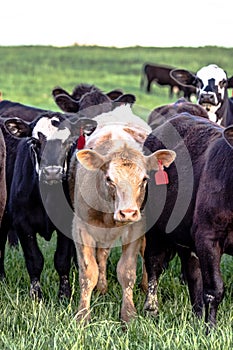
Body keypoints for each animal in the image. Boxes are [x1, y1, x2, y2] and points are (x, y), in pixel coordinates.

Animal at [0, 113, 96, 300]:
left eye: (68, 142)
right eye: (35, 142)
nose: (52, 172)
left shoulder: (67, 221)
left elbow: (62, 260)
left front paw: (64, 295)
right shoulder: (23, 224)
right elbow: (34, 260)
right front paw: (36, 295)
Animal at [144, 113, 233, 332]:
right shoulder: (208, 236)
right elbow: (214, 289)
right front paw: (211, 330)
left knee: (193, 274)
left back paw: (197, 315)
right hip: (154, 227)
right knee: (153, 263)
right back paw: (152, 310)